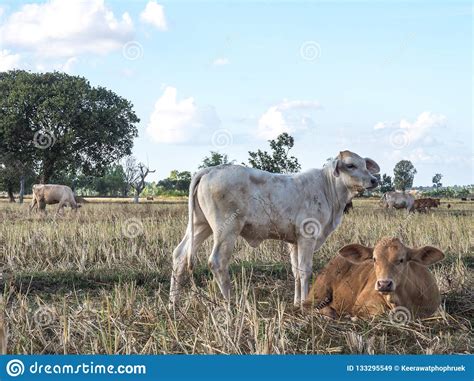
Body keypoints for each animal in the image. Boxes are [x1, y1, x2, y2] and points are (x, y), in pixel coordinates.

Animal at [168, 150, 380, 308]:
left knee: (179, 255)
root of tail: (210, 170)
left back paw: (173, 304)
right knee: (217, 262)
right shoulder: (307, 237)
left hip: (200, 225)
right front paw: (305, 304)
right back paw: (231, 305)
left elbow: (296, 271)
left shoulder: (294, 242)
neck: (329, 189)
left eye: (364, 164)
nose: (374, 180)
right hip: (226, 230)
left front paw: (296, 303)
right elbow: (305, 270)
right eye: (350, 165)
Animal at [304, 238, 444, 318]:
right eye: (374, 259)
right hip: (319, 292)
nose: (384, 284)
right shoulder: (360, 303)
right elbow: (381, 312)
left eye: (401, 260)